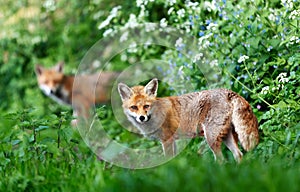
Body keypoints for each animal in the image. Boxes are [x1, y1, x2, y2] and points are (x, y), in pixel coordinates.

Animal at [118, 78, 258, 162]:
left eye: (146, 106)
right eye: (134, 107)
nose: (142, 117)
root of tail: (228, 92)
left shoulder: (166, 140)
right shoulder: (172, 140)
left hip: (211, 138)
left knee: (222, 160)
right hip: (226, 136)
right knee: (239, 155)